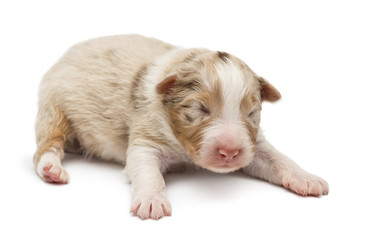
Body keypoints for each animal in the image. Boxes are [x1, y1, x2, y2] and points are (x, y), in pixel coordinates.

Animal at [33, 33, 328, 219]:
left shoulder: (253, 143)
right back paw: (51, 169)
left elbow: (277, 159)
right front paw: (152, 200)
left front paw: (307, 178)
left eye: (252, 112)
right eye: (199, 109)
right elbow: (147, 170)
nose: (230, 152)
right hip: (53, 106)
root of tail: (66, 54)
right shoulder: (145, 137)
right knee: (46, 145)